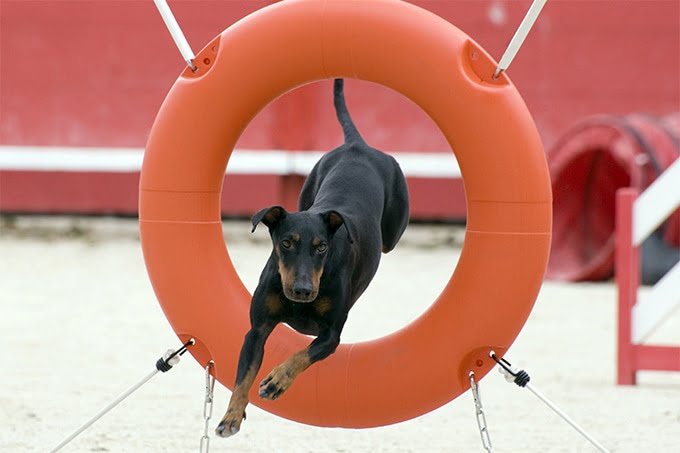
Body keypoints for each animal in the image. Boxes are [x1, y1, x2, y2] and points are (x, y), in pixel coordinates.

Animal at [216, 79, 410, 436]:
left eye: (322, 247)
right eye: (286, 243)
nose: (303, 290)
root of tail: (358, 145)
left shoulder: (331, 335)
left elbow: (301, 355)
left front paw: (277, 380)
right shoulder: (257, 329)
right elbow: (242, 376)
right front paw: (231, 416)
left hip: (394, 226)